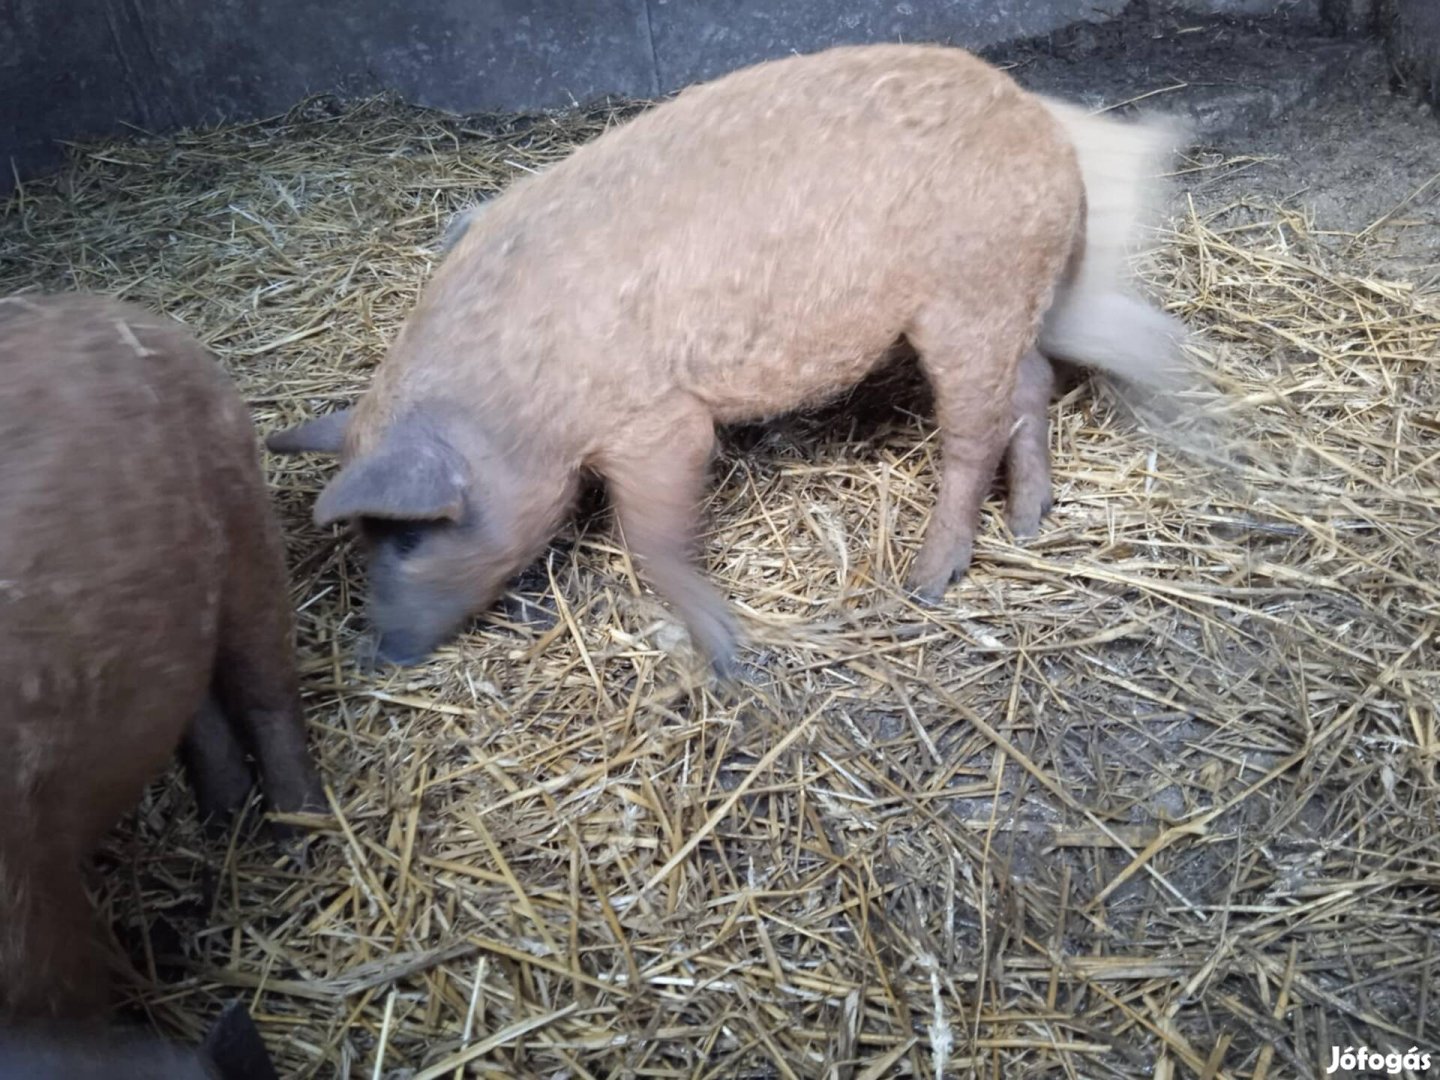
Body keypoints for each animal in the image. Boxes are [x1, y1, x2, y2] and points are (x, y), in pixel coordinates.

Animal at [2, 289, 324, 1025]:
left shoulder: (27, 889)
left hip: (243, 516)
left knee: (266, 684)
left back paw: (301, 838)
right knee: (193, 693)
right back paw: (224, 817)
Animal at [272, 44, 1192, 676]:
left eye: (407, 537)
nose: (377, 653)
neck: (513, 405)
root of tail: (1041, 126)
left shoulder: (659, 422)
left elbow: (652, 537)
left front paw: (727, 655)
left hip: (967, 295)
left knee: (974, 430)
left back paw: (925, 584)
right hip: (1004, 298)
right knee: (1029, 385)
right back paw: (1032, 521)